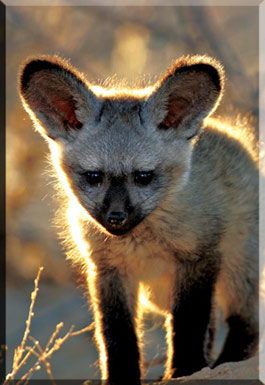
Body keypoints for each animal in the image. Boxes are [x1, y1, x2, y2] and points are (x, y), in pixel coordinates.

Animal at [19, 54, 258, 384]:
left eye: (143, 177)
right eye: (93, 177)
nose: (116, 218)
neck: (142, 244)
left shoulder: (199, 259)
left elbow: (189, 324)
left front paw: (185, 370)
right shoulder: (107, 271)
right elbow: (117, 336)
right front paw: (122, 377)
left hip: (235, 267)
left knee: (245, 322)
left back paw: (226, 362)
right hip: (161, 294)